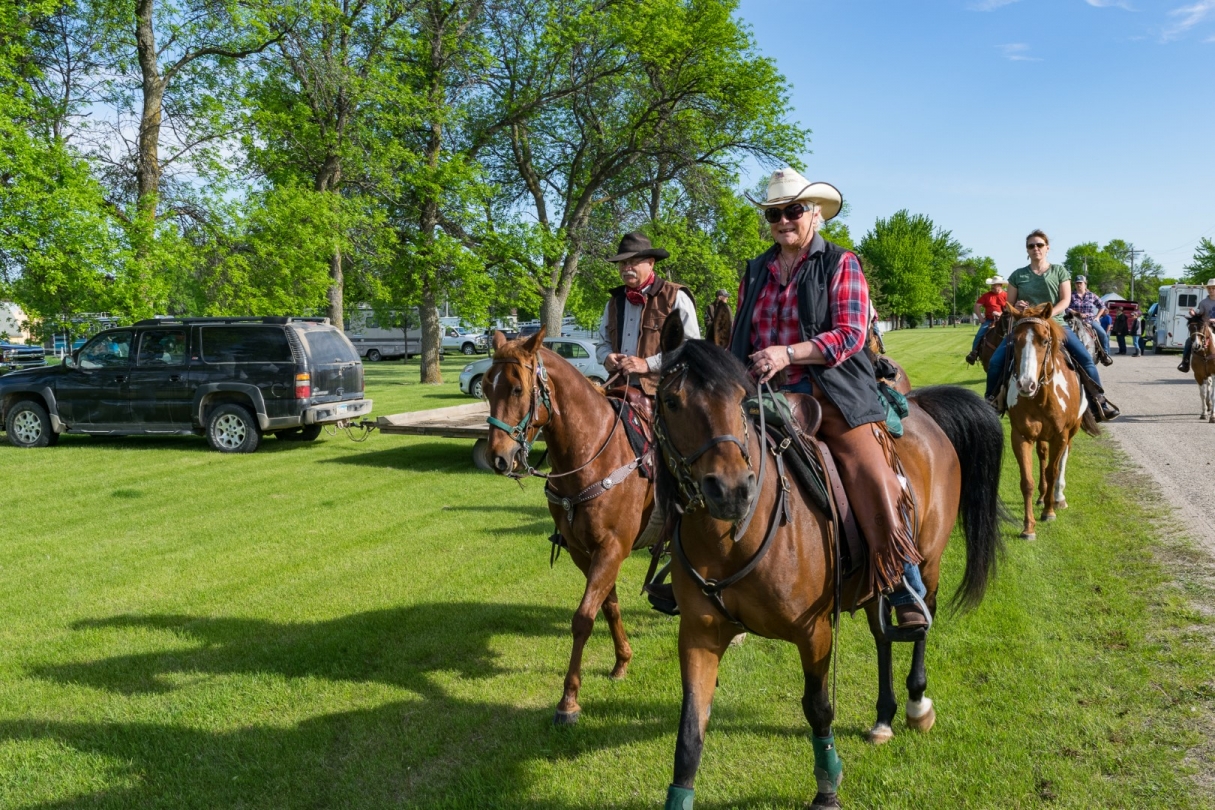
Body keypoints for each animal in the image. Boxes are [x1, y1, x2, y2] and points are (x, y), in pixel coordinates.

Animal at [484, 328, 656, 725]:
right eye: (485, 387)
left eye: (516, 389)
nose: (497, 457)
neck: (592, 455)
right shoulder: (583, 551)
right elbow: (607, 606)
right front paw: (622, 661)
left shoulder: (612, 549)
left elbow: (582, 618)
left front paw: (569, 700)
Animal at [652, 316, 1005, 810]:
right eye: (671, 401)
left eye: (740, 401)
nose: (733, 489)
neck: (734, 540)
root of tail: (919, 407)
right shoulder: (699, 636)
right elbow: (689, 732)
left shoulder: (814, 632)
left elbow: (818, 709)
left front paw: (827, 785)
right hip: (879, 577)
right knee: (883, 635)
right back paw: (883, 716)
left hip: (929, 562)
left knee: (920, 622)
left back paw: (916, 704)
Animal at [1003, 304, 1100, 540]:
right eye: (1014, 341)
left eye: (1045, 341)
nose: (1025, 385)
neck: (1041, 396)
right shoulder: (1021, 436)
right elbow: (1026, 480)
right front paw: (1028, 527)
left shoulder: (1060, 435)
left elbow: (1053, 470)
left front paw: (1049, 512)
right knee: (1042, 455)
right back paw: (1042, 496)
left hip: (1071, 431)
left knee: (1063, 458)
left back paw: (1058, 497)